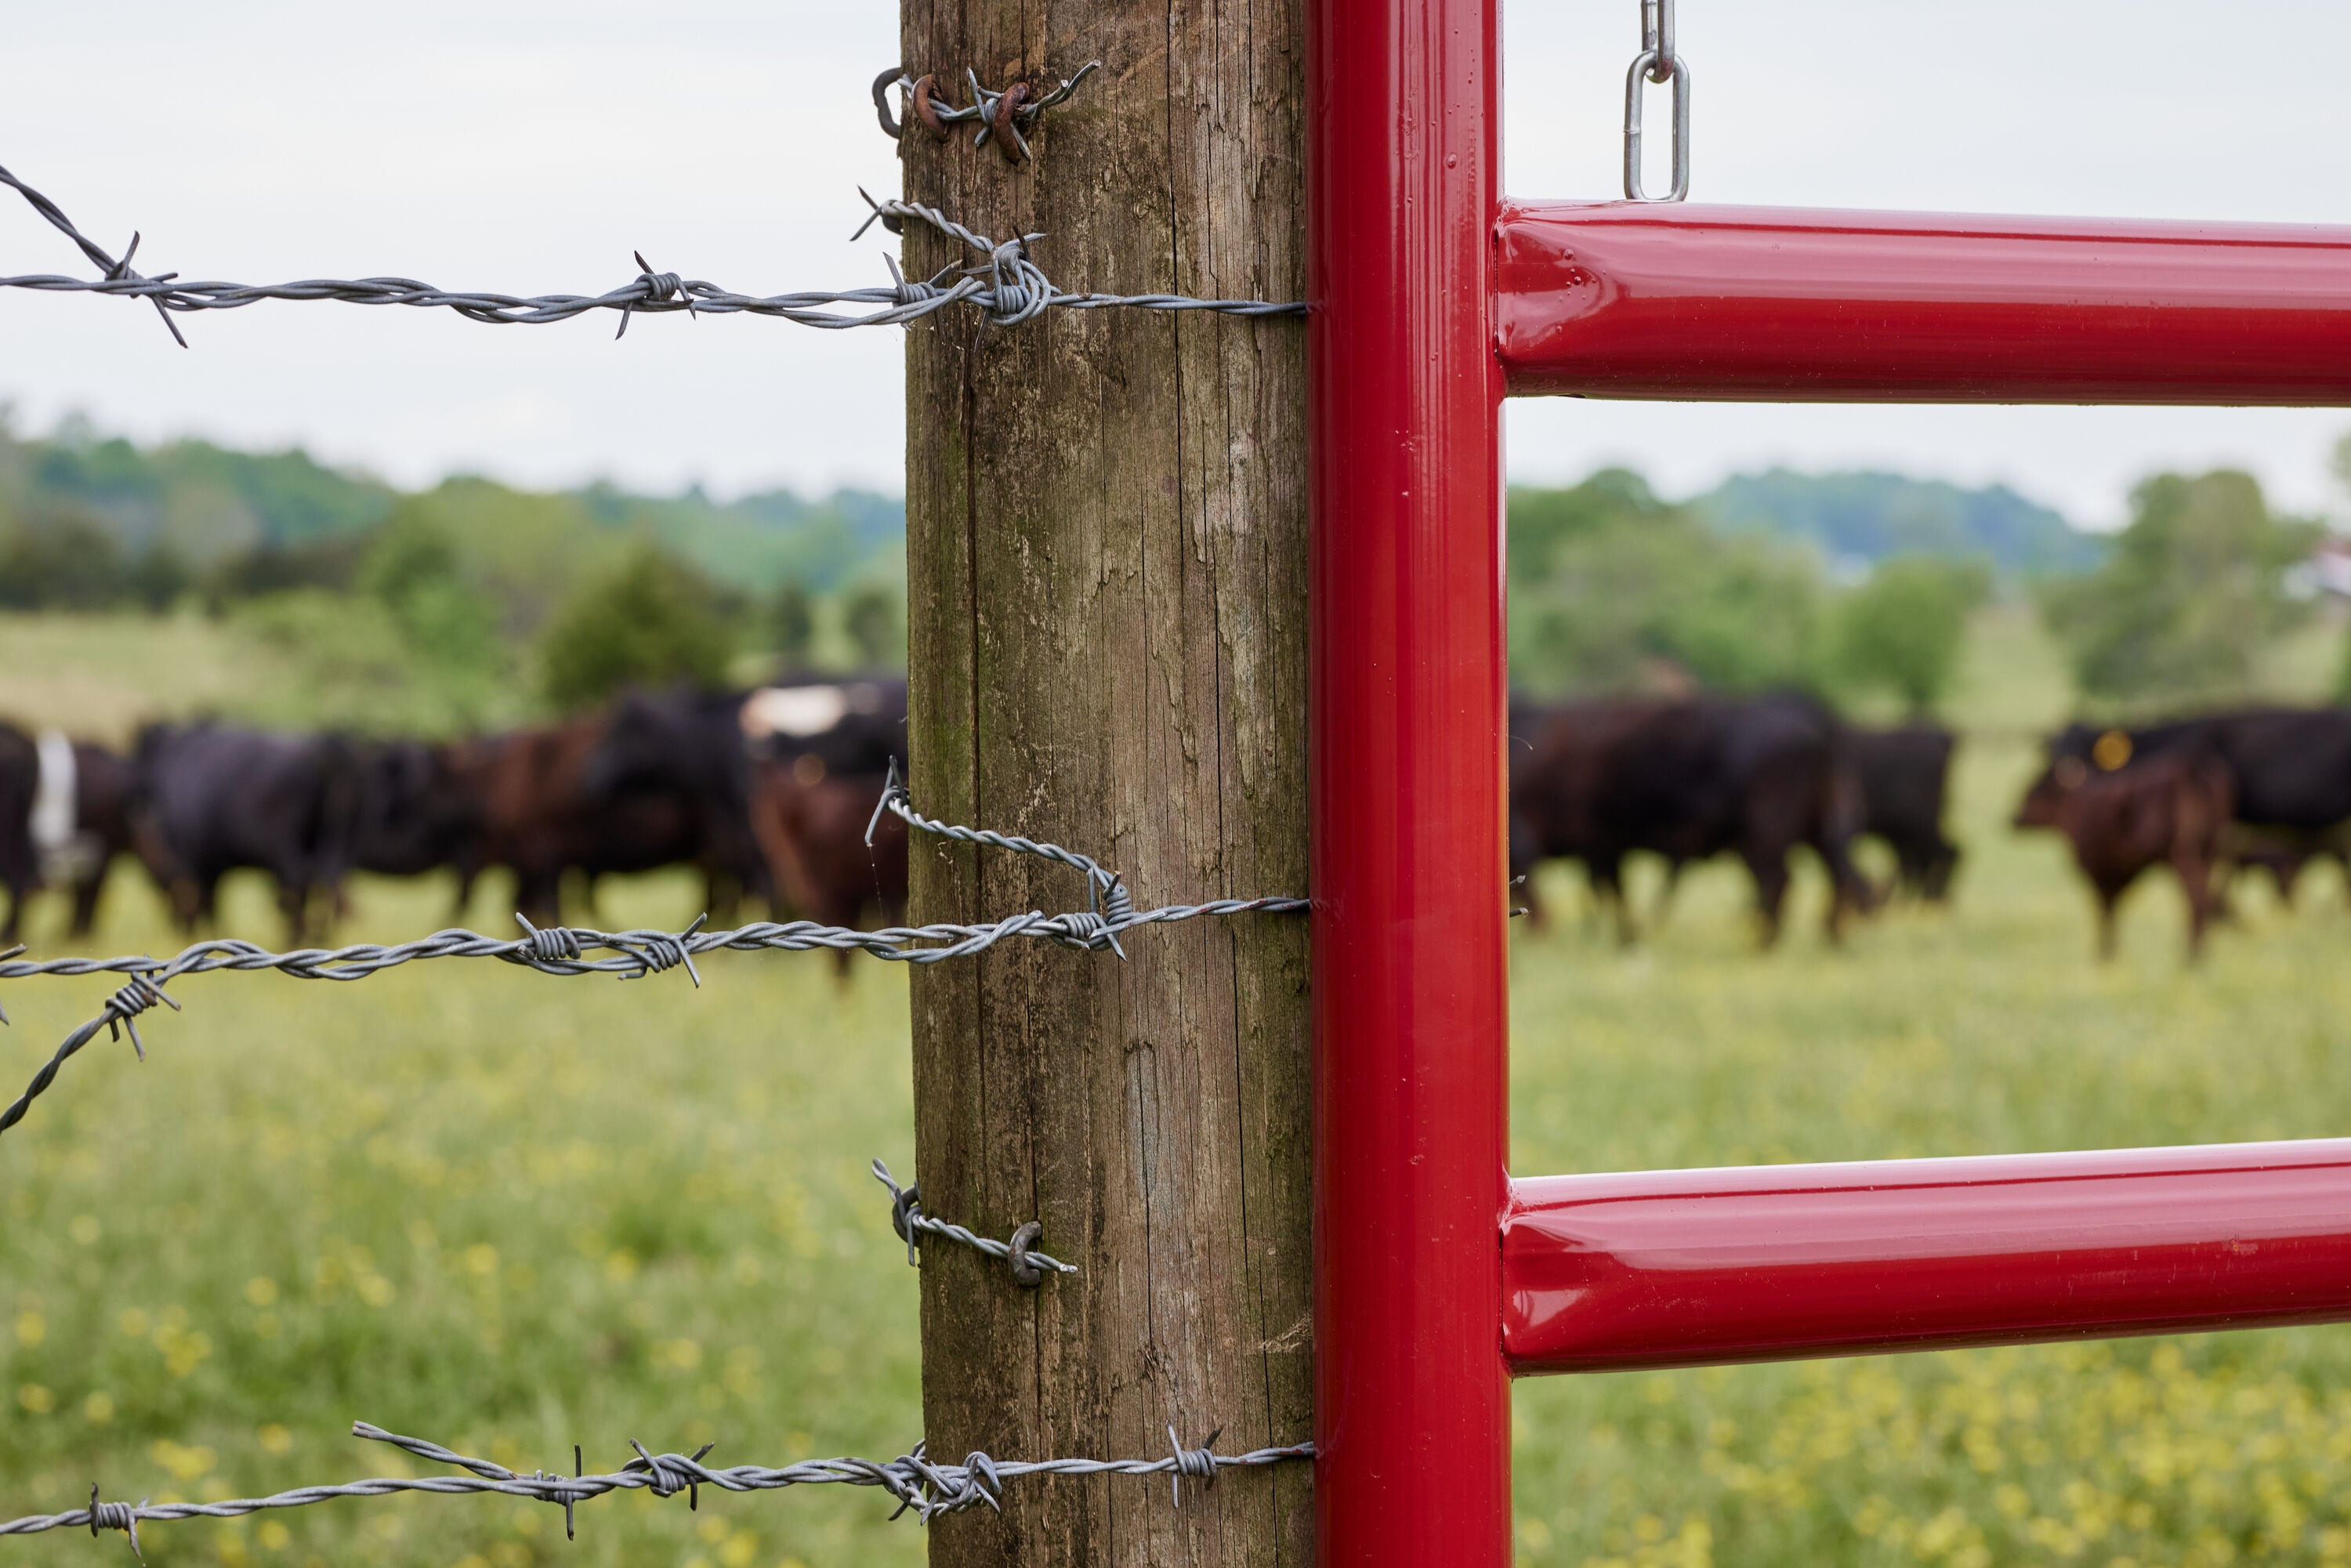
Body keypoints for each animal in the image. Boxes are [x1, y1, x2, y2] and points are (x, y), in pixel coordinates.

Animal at [129, 724, 362, 945]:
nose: (179, 929)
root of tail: (327, 747)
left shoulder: (200, 860)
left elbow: (209, 903)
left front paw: (214, 936)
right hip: (334, 839)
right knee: (327, 883)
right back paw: (317, 936)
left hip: (289, 848)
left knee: (299, 884)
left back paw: (295, 940)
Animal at [2012, 752, 2229, 964]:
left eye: (2035, 790)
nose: (2013, 819)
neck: (2074, 804)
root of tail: (2191, 767)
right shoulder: (2116, 874)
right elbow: (2112, 908)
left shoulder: (2098, 870)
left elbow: (2105, 909)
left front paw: (2105, 955)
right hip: (2209, 852)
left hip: (2183, 855)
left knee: (2197, 900)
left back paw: (2192, 956)